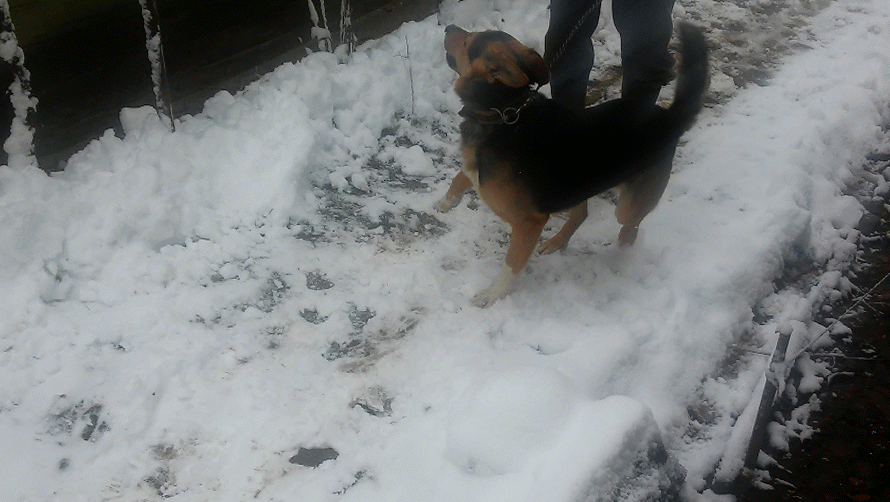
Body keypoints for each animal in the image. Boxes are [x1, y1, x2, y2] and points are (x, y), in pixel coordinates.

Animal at [435, 22, 709, 308]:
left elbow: (511, 264)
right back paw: (557, 241)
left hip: (627, 205)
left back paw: (622, 252)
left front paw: (494, 294)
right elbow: (460, 176)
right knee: (581, 213)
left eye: (468, 41)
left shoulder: (528, 223)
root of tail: (669, 116)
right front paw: (445, 202)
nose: (448, 27)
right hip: (577, 183)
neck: (504, 112)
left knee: (629, 226)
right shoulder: (475, 170)